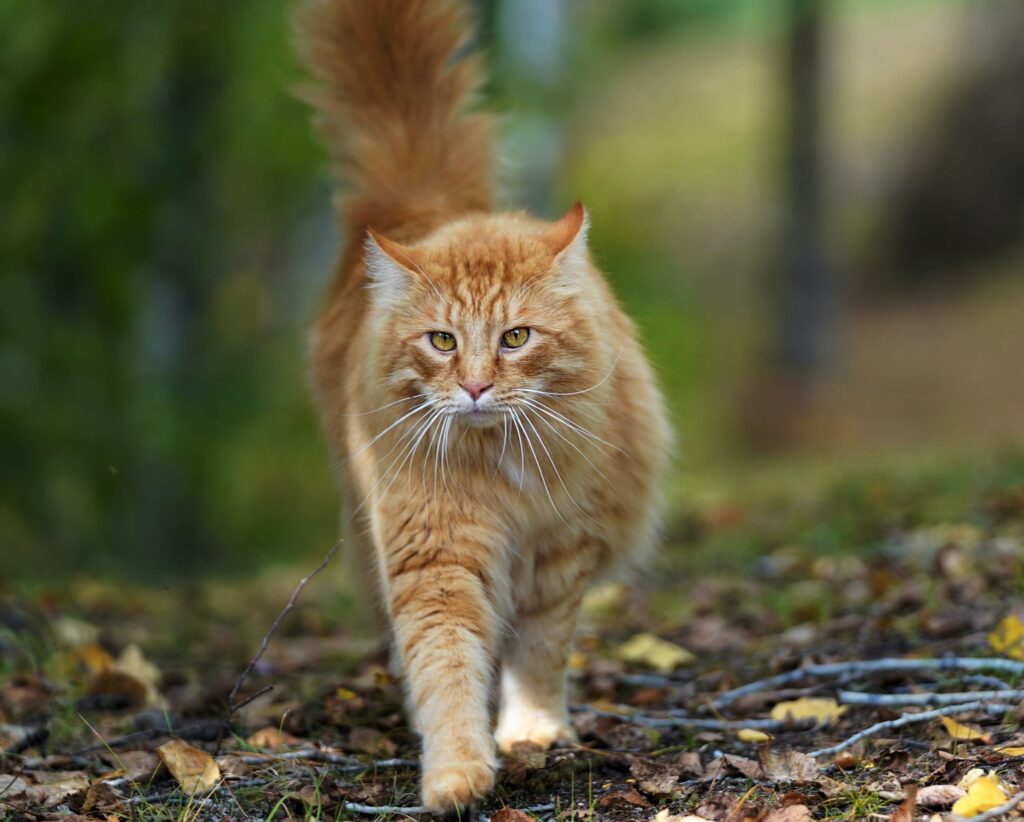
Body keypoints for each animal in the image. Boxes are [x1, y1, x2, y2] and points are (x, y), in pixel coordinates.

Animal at [294, 0, 671, 810]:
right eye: (442, 341)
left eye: (515, 337)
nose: (473, 386)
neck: (501, 475)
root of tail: (425, 201)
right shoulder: (435, 553)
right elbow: (446, 666)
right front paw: (457, 774)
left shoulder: (563, 551)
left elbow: (538, 653)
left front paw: (531, 732)